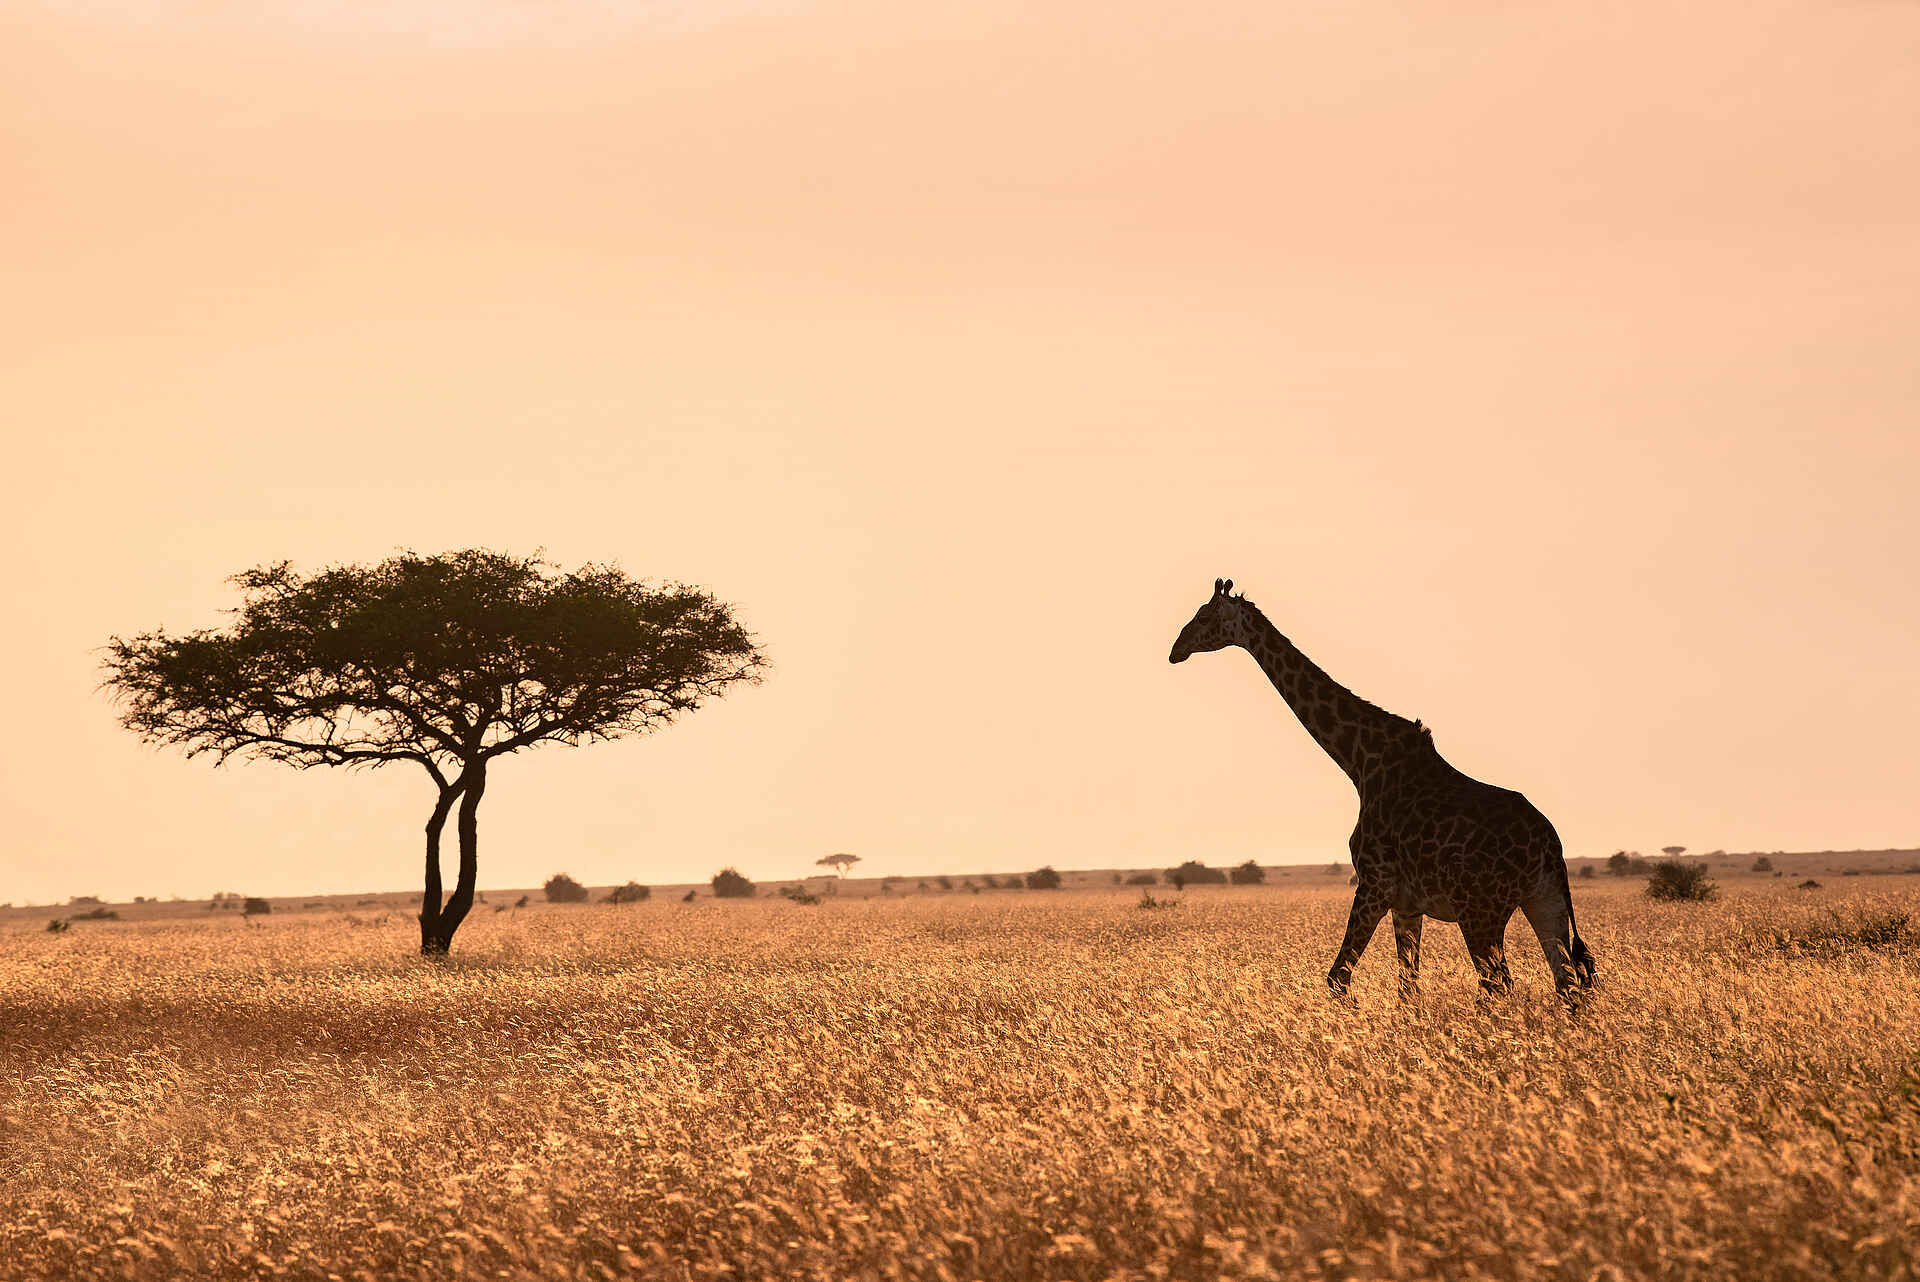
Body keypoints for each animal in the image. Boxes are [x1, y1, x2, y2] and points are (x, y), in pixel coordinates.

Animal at [1169, 578, 1596, 1004]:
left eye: (1204, 616)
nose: (1176, 650)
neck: (1360, 762)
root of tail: (1550, 846)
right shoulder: (1406, 904)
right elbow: (1407, 987)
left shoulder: (1374, 884)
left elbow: (1338, 977)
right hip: (1544, 901)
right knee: (1565, 984)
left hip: (1480, 911)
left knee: (1499, 984)